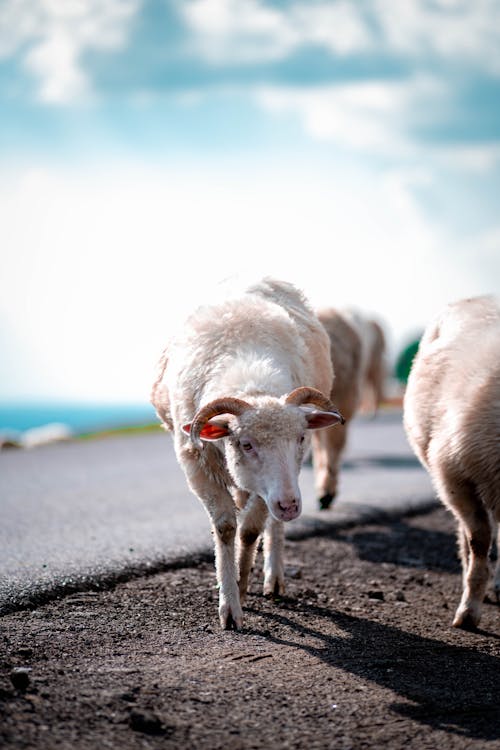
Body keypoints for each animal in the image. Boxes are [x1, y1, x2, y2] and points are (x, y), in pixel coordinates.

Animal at [150, 276, 346, 628]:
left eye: (301, 438)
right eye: (246, 444)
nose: (290, 505)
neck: (250, 383)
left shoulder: (274, 484)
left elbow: (251, 530)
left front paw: (242, 585)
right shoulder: (197, 465)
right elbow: (226, 528)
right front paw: (229, 604)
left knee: (272, 524)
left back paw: (274, 578)